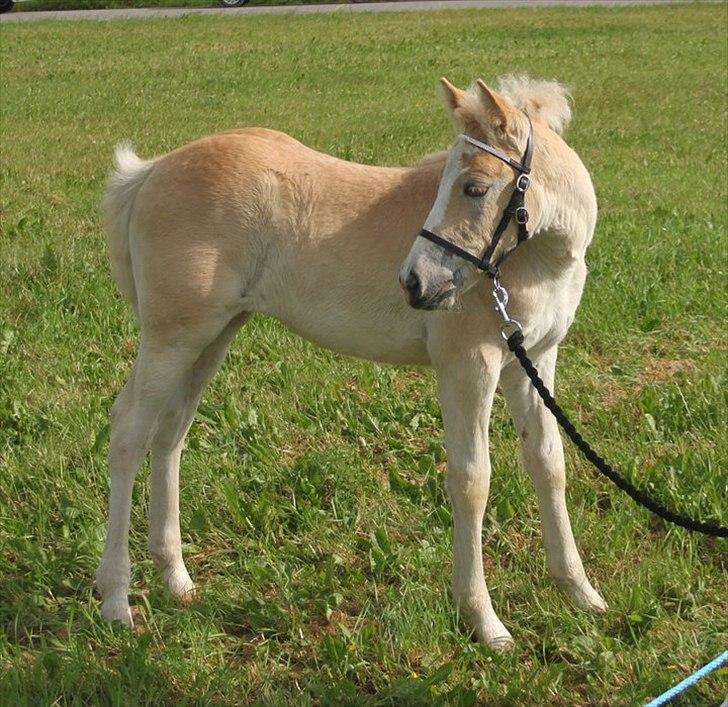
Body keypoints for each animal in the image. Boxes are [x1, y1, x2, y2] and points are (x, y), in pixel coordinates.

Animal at [98, 74, 608, 648]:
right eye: (449, 182)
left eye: (474, 187)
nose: (414, 282)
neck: (534, 263)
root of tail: (150, 171)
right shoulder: (467, 366)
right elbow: (472, 481)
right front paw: (483, 619)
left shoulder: (534, 360)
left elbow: (548, 463)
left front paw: (580, 592)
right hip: (173, 337)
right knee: (130, 431)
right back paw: (116, 599)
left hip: (213, 337)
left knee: (170, 434)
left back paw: (176, 578)